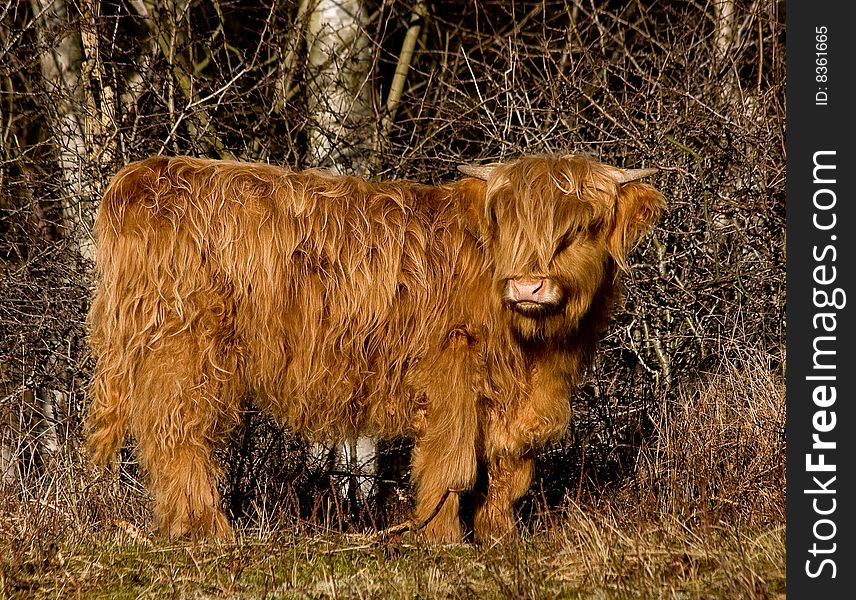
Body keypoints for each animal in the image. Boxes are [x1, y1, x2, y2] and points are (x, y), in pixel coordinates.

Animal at [85, 155, 664, 544]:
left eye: (582, 227)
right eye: (505, 225)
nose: (528, 285)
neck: (534, 348)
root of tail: (145, 176)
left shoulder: (525, 400)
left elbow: (512, 466)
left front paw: (499, 536)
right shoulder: (449, 369)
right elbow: (453, 462)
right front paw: (440, 539)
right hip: (184, 348)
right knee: (177, 433)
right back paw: (206, 529)